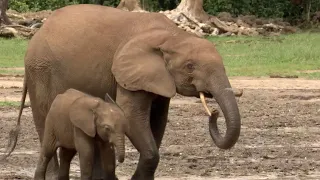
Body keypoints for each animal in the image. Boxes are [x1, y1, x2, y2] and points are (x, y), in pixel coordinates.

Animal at [4, 3, 240, 180]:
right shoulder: (127, 72)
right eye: (190, 66)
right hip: (40, 70)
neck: (173, 35)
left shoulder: (157, 78)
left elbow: (158, 121)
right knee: (45, 121)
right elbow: (132, 116)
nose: (214, 113)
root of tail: (37, 32)